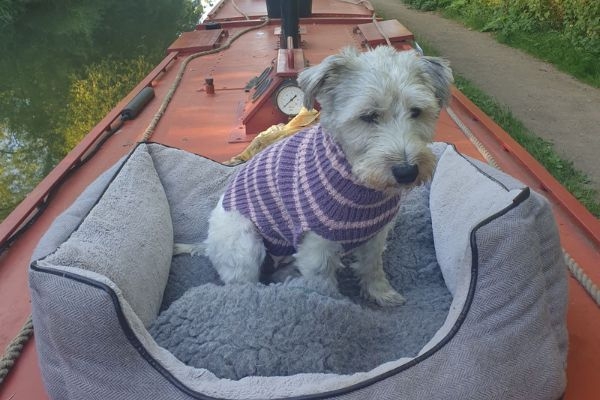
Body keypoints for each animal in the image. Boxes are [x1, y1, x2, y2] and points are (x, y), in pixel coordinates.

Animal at [176, 45, 452, 304]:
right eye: (368, 116)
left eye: (416, 112)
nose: (407, 172)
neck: (358, 182)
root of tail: (207, 244)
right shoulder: (316, 248)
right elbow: (324, 287)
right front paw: (338, 307)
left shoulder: (375, 235)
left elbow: (372, 267)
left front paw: (380, 293)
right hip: (245, 243)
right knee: (243, 285)